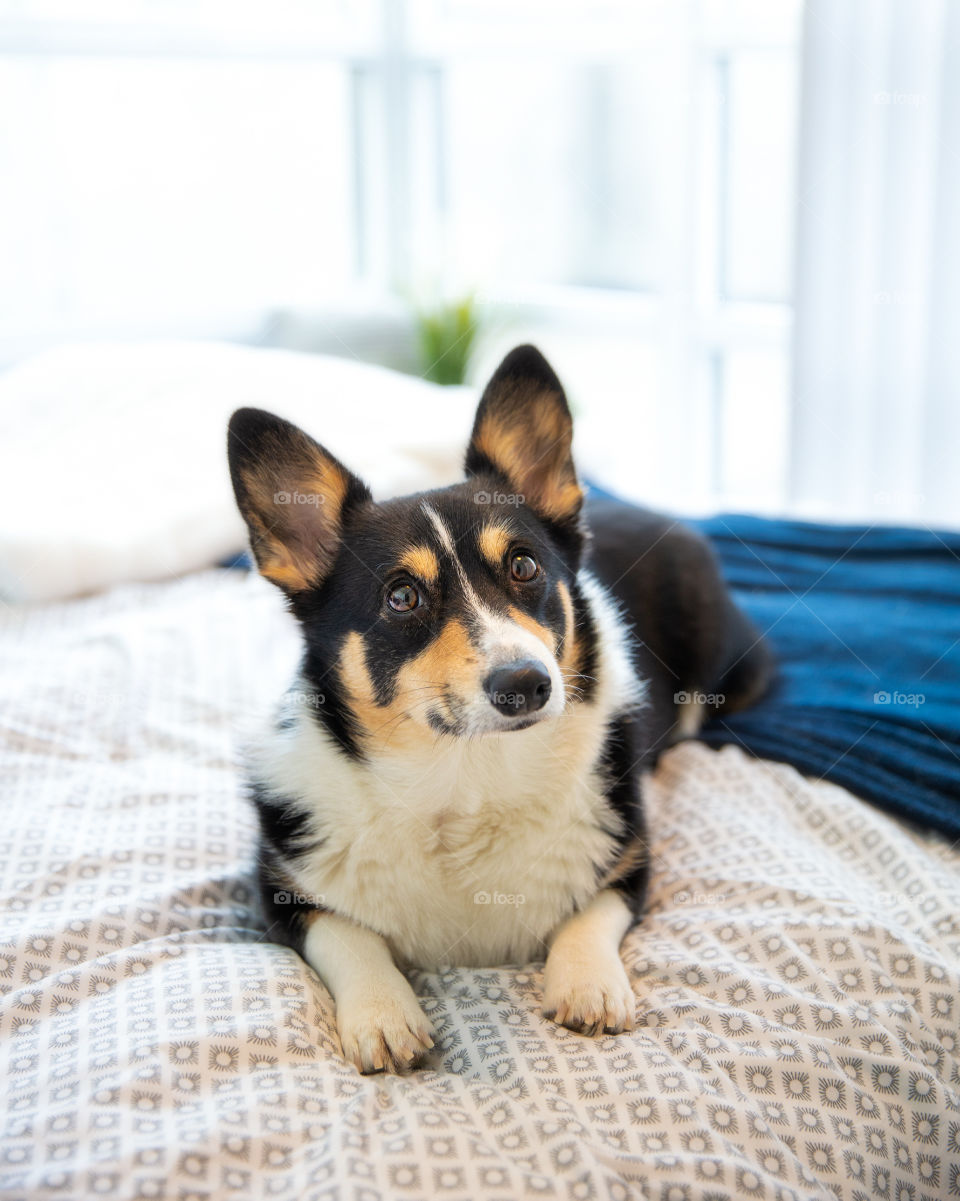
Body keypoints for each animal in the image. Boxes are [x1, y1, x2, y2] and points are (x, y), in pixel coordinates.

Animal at [230, 343, 773, 1076]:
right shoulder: (280, 888)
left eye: (523, 566)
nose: (527, 683)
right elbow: (347, 936)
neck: (466, 781)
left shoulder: (629, 862)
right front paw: (383, 1014)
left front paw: (589, 985)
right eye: (402, 597)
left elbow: (590, 913)